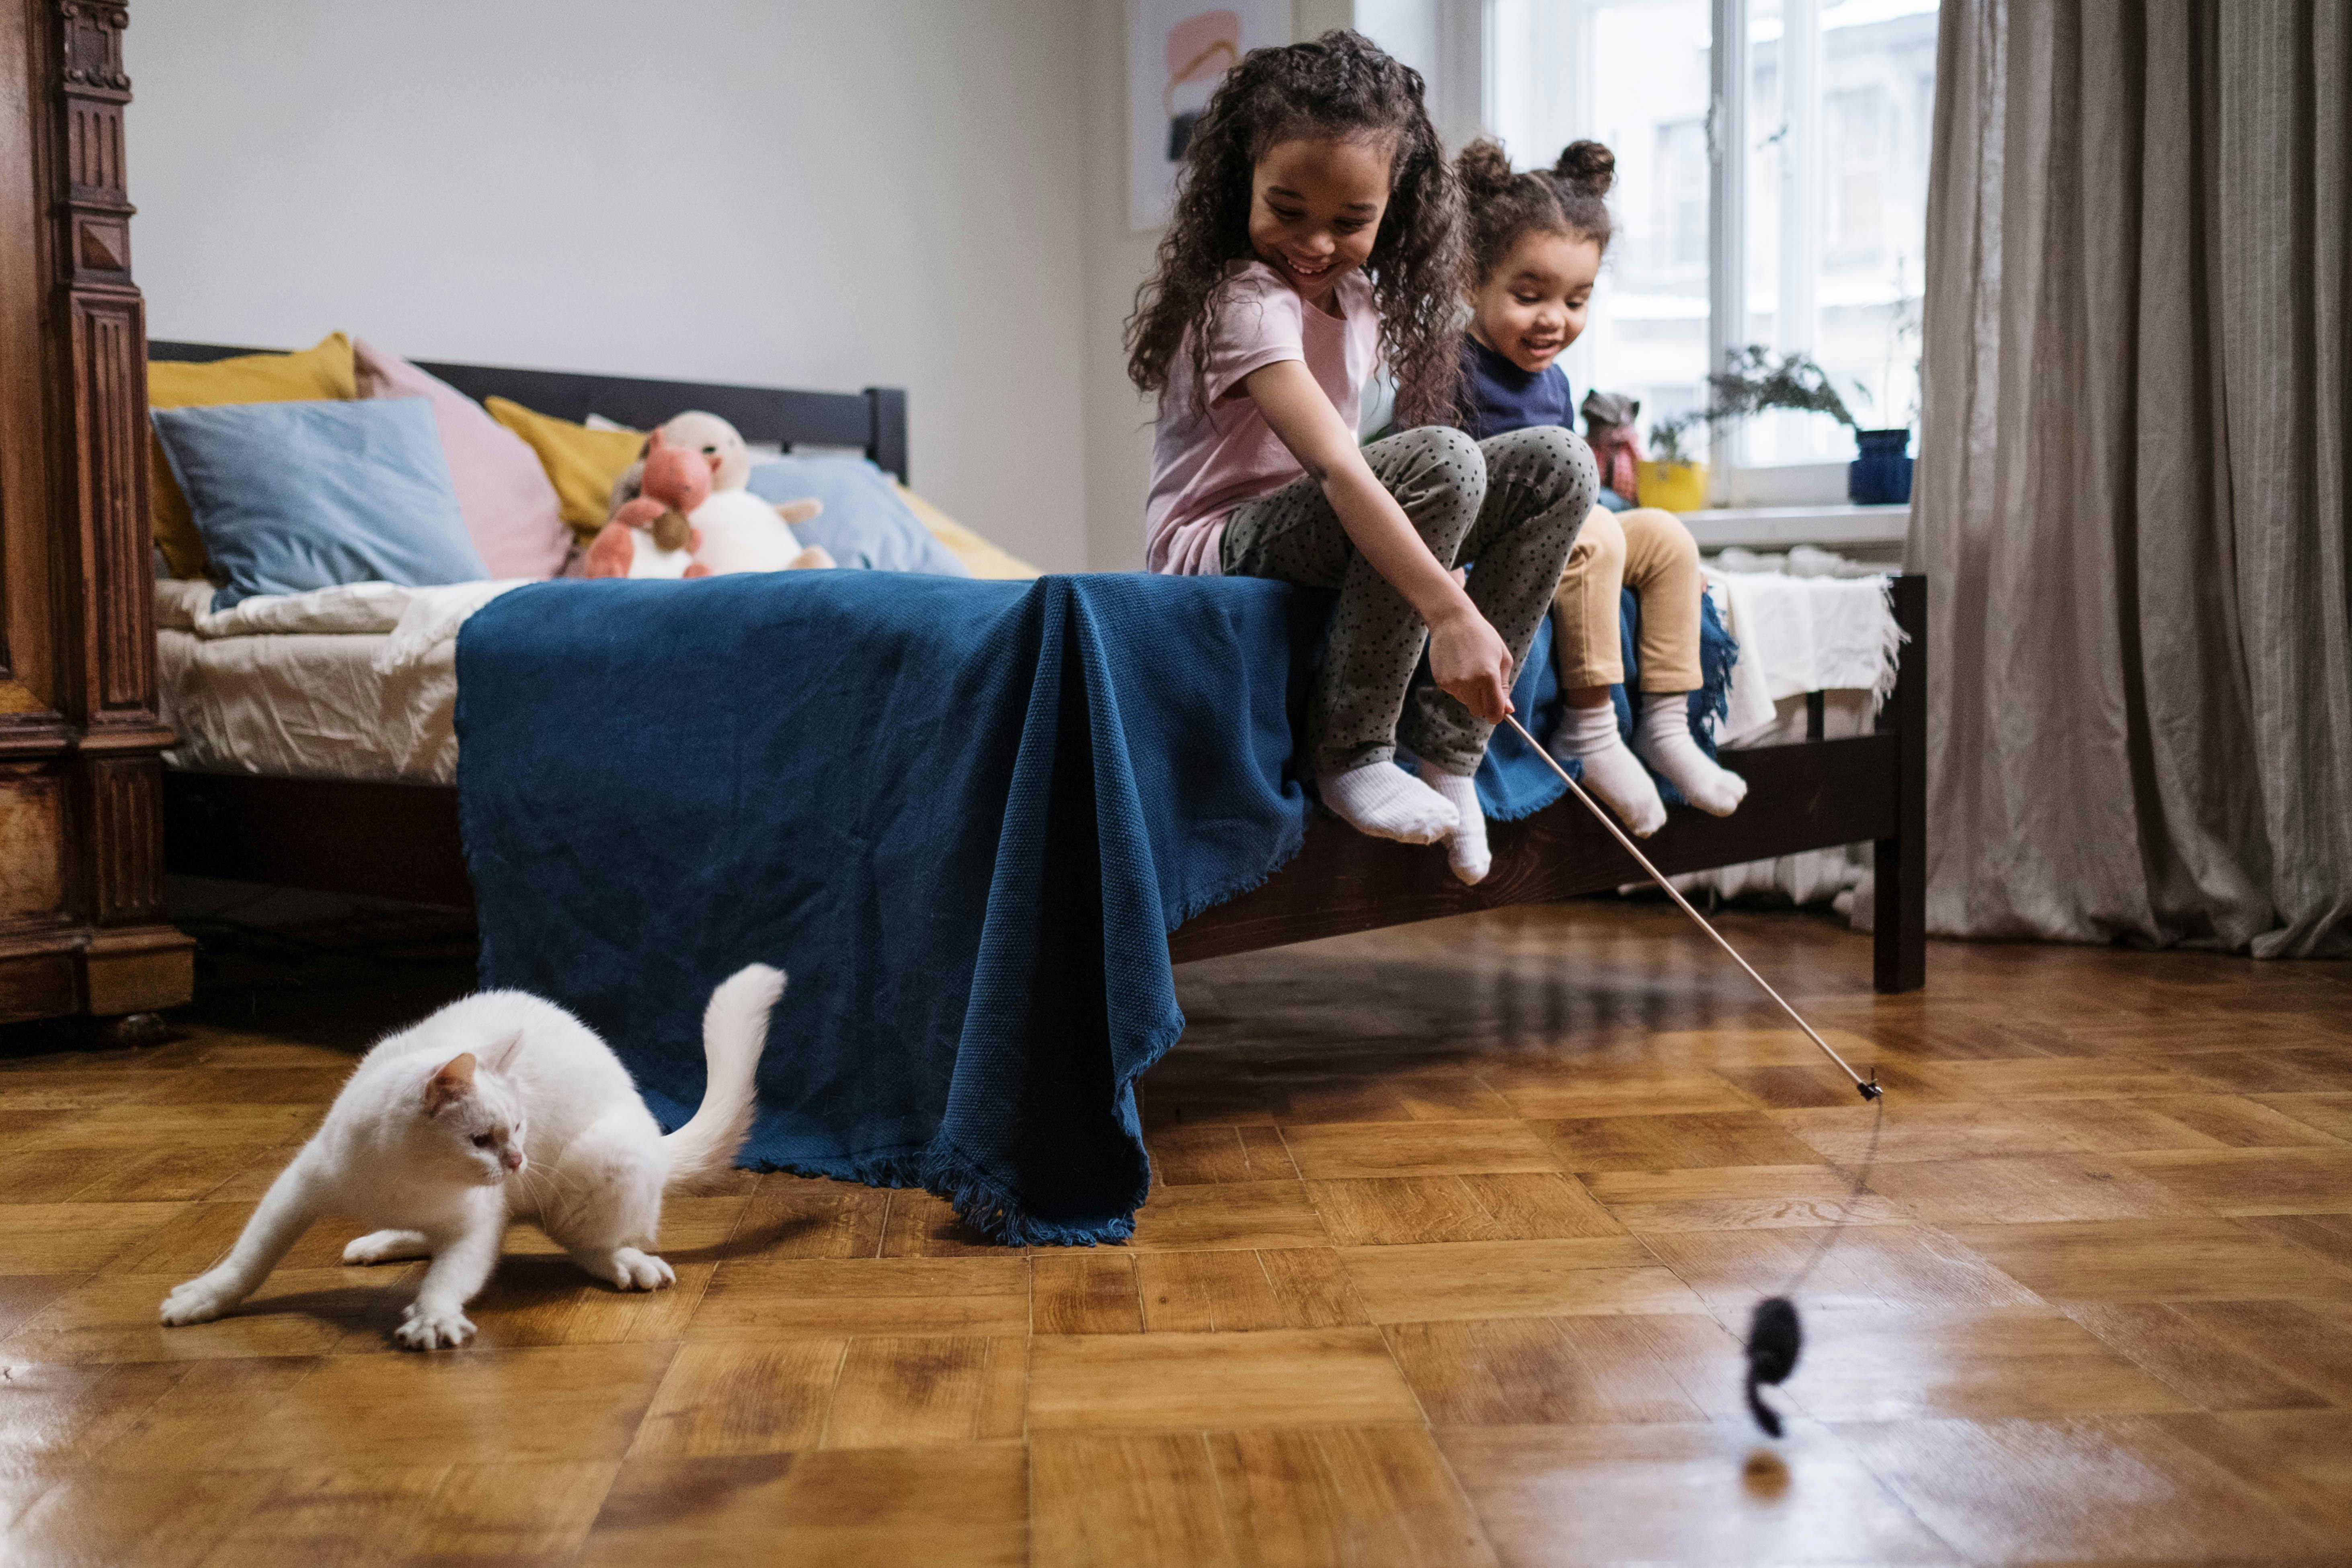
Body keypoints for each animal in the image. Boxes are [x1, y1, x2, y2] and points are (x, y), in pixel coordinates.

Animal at [168, 964, 790, 1354]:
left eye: (519, 1127)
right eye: (482, 1139)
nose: (517, 1162)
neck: (407, 1184)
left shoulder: (478, 1225)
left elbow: (452, 1274)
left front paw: (433, 1316)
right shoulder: (300, 1185)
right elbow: (250, 1257)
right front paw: (203, 1297)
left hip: (602, 1163)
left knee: (593, 1243)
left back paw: (625, 1264)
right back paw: (381, 1241)